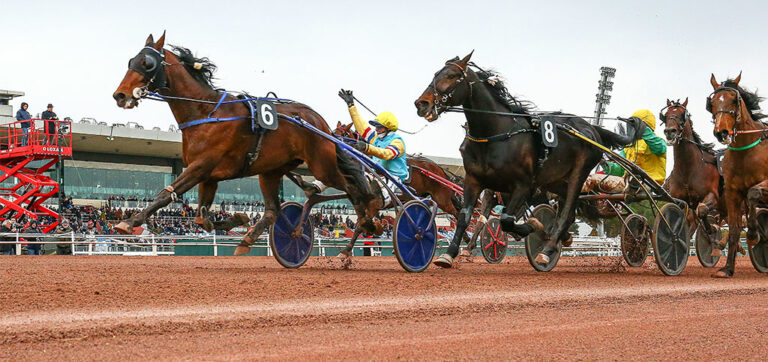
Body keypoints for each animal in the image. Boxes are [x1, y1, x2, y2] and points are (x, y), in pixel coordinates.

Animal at [112, 33, 380, 255]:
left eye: (147, 62)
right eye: (130, 61)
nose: (120, 95)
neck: (206, 112)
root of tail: (320, 122)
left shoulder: (201, 167)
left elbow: (165, 195)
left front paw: (130, 221)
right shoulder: (208, 175)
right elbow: (200, 218)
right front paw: (237, 219)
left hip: (322, 165)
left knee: (352, 187)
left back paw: (367, 222)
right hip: (271, 171)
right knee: (273, 210)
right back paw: (247, 240)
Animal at [414, 51, 640, 266]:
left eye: (452, 75)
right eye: (436, 73)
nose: (421, 103)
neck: (495, 135)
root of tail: (591, 128)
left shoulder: (523, 185)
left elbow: (506, 219)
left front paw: (534, 225)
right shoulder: (474, 181)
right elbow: (465, 216)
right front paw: (449, 254)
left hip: (579, 173)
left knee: (566, 212)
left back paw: (547, 251)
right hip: (556, 181)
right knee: (568, 214)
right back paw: (561, 239)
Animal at [708, 73, 768, 278]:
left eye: (735, 100)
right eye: (712, 102)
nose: (722, 132)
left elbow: (753, 193)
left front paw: (753, 234)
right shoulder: (732, 192)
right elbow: (734, 229)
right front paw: (727, 269)